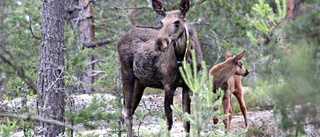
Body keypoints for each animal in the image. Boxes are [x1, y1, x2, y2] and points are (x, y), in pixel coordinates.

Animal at [117, 0, 202, 136]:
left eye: (177, 22)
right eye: (161, 23)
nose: (159, 43)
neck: (184, 59)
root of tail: (120, 38)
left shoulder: (188, 86)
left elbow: (187, 122)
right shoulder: (168, 85)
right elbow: (169, 122)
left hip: (140, 83)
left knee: (128, 110)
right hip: (126, 73)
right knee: (127, 112)